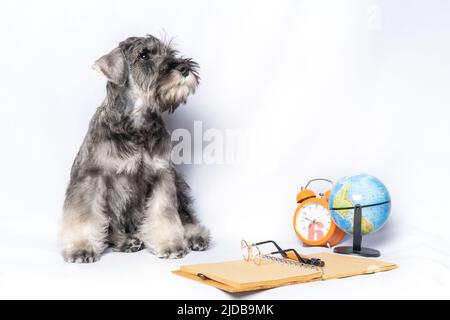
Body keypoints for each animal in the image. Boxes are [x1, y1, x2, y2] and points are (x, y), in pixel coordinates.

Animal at [57, 34, 209, 262]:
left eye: (169, 53)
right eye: (143, 55)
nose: (183, 68)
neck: (137, 125)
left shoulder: (162, 175)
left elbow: (164, 212)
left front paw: (170, 243)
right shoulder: (90, 178)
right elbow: (85, 215)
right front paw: (81, 248)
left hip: (178, 184)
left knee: (184, 215)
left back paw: (194, 236)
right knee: (111, 229)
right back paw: (127, 241)